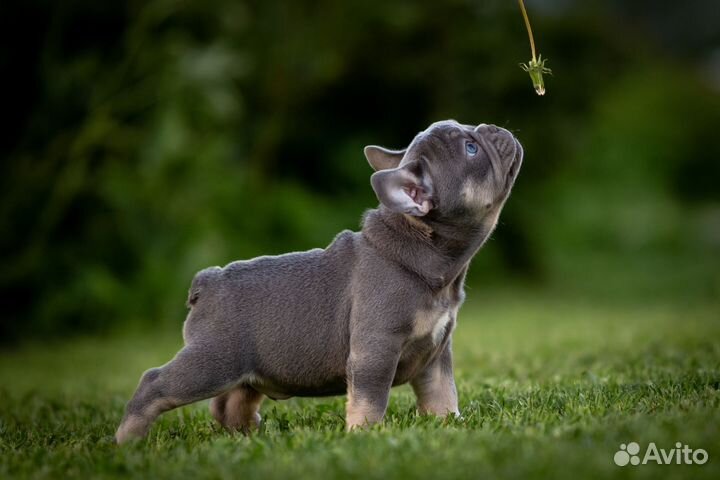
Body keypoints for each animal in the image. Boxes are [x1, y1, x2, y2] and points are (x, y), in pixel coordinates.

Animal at [115, 120, 520, 442]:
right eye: (470, 148)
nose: (491, 127)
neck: (419, 245)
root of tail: (208, 281)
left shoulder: (435, 354)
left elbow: (442, 394)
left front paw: (450, 424)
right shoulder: (376, 350)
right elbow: (370, 399)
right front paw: (365, 434)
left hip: (246, 370)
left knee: (230, 403)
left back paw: (247, 434)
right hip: (211, 361)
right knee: (155, 384)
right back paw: (127, 440)